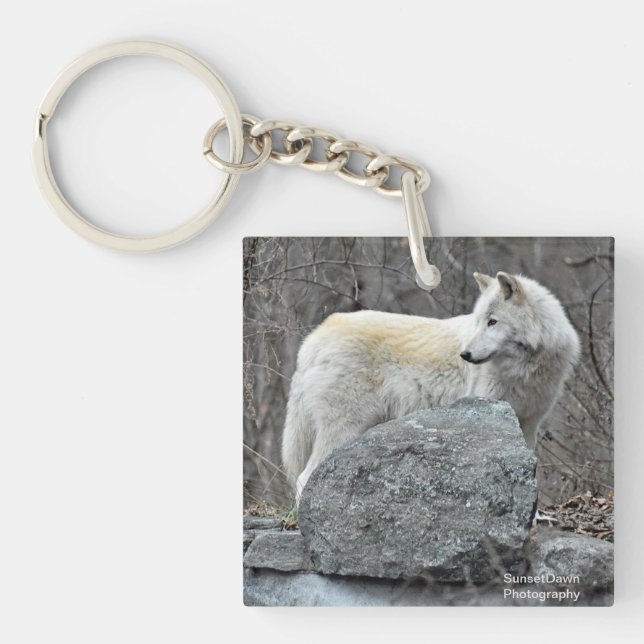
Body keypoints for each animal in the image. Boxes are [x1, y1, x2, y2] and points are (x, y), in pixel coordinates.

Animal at [281, 271, 580, 500]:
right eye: (479, 322)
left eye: (493, 322)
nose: (465, 355)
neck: (525, 369)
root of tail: (314, 338)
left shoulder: (528, 424)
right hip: (344, 429)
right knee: (304, 477)